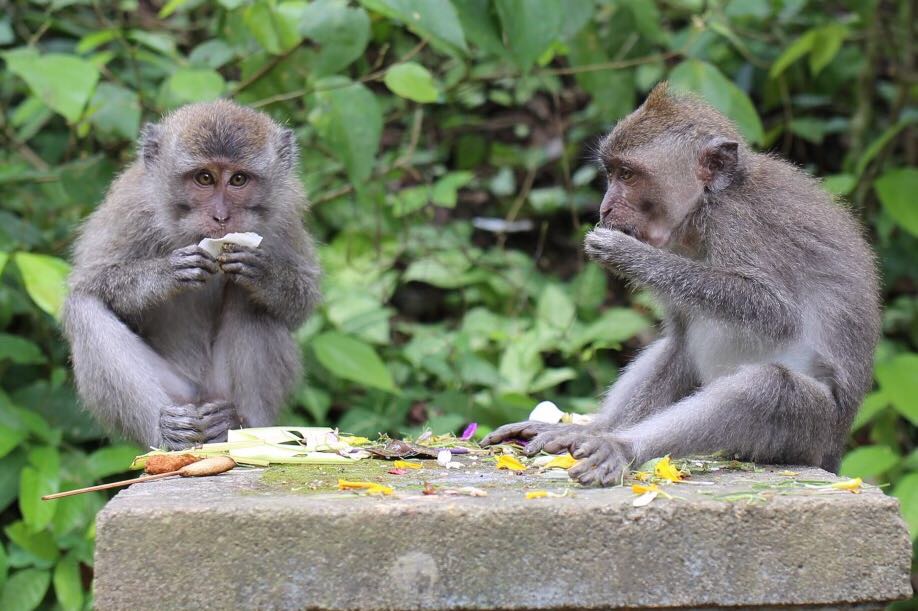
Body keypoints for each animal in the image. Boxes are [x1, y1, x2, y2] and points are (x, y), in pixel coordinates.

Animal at [63, 101, 322, 450]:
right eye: (204, 178)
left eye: (238, 179)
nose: (221, 216)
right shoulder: (131, 208)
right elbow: (90, 282)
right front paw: (168, 273)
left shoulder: (286, 211)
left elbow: (302, 299)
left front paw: (263, 274)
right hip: (179, 393)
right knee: (83, 308)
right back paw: (166, 431)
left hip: (220, 390)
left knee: (252, 303)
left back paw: (237, 426)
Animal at [486, 83, 880, 488]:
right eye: (611, 173)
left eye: (627, 174)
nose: (605, 209)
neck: (707, 206)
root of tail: (833, 450)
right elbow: (680, 342)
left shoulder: (737, 222)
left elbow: (775, 310)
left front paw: (629, 255)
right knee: (681, 348)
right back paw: (594, 431)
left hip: (813, 431)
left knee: (769, 389)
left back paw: (622, 446)